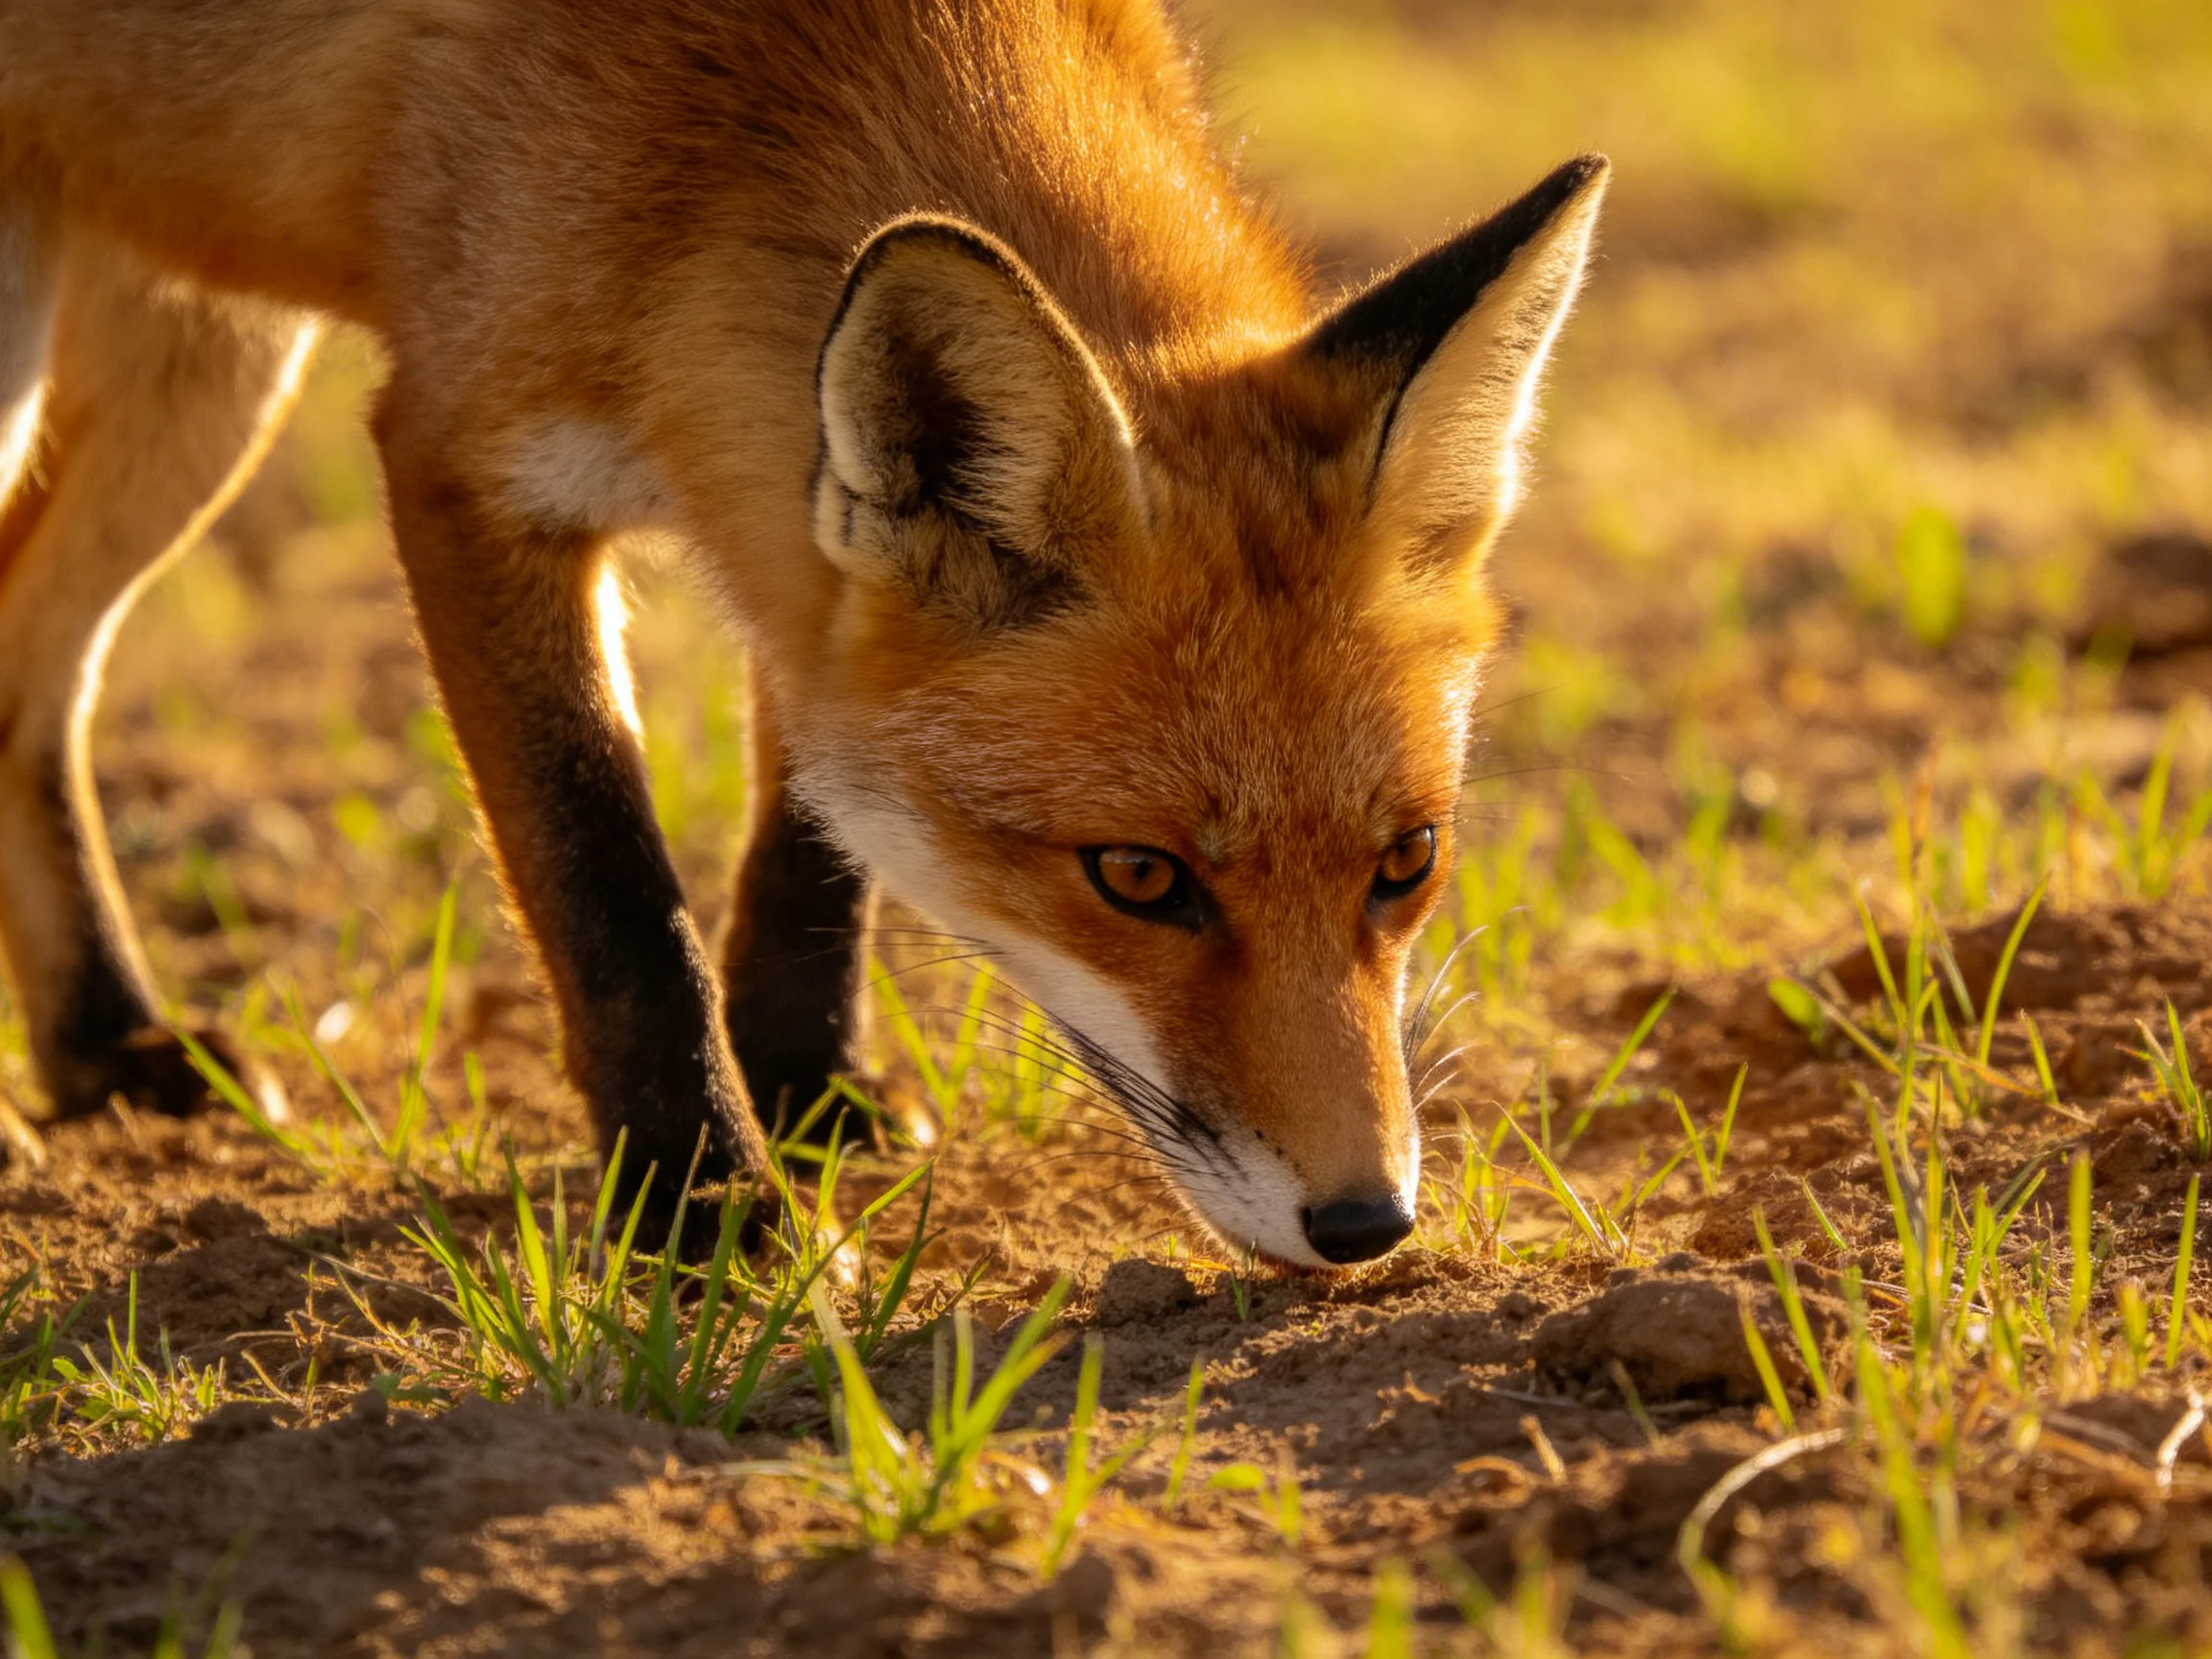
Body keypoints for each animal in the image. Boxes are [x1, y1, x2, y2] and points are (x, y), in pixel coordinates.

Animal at [0, 0, 1605, 1269]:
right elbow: (611, 889)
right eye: (1138, 877)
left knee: (28, 679)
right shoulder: (462, 459)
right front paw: (704, 1206)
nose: (1365, 1225)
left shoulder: (807, 552)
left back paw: (101, 1046)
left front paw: (811, 1094)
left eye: (1407, 863)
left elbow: (811, 846)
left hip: (205, 364)